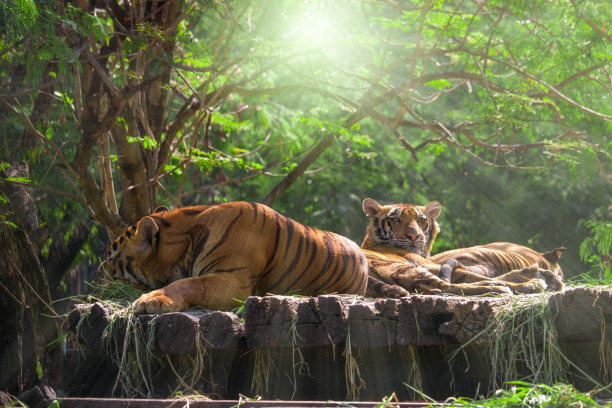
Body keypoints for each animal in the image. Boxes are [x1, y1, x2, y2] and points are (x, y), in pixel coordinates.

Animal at [358, 198, 564, 296]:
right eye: (396, 220)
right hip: (404, 268)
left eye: (420, 220)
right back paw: (508, 287)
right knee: (447, 287)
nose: (414, 236)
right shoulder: (429, 264)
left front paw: (539, 275)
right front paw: (535, 280)